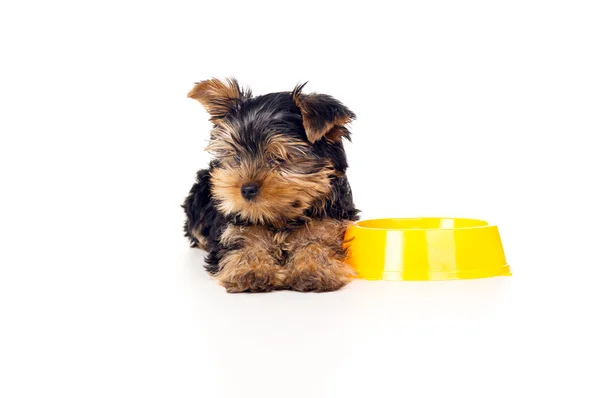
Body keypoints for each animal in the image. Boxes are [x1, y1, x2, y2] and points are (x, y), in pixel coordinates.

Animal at [183, 77, 358, 292]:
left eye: (278, 158)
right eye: (237, 157)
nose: (246, 189)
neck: (281, 217)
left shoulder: (328, 224)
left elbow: (318, 244)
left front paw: (313, 269)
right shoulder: (236, 228)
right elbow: (244, 245)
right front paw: (251, 270)